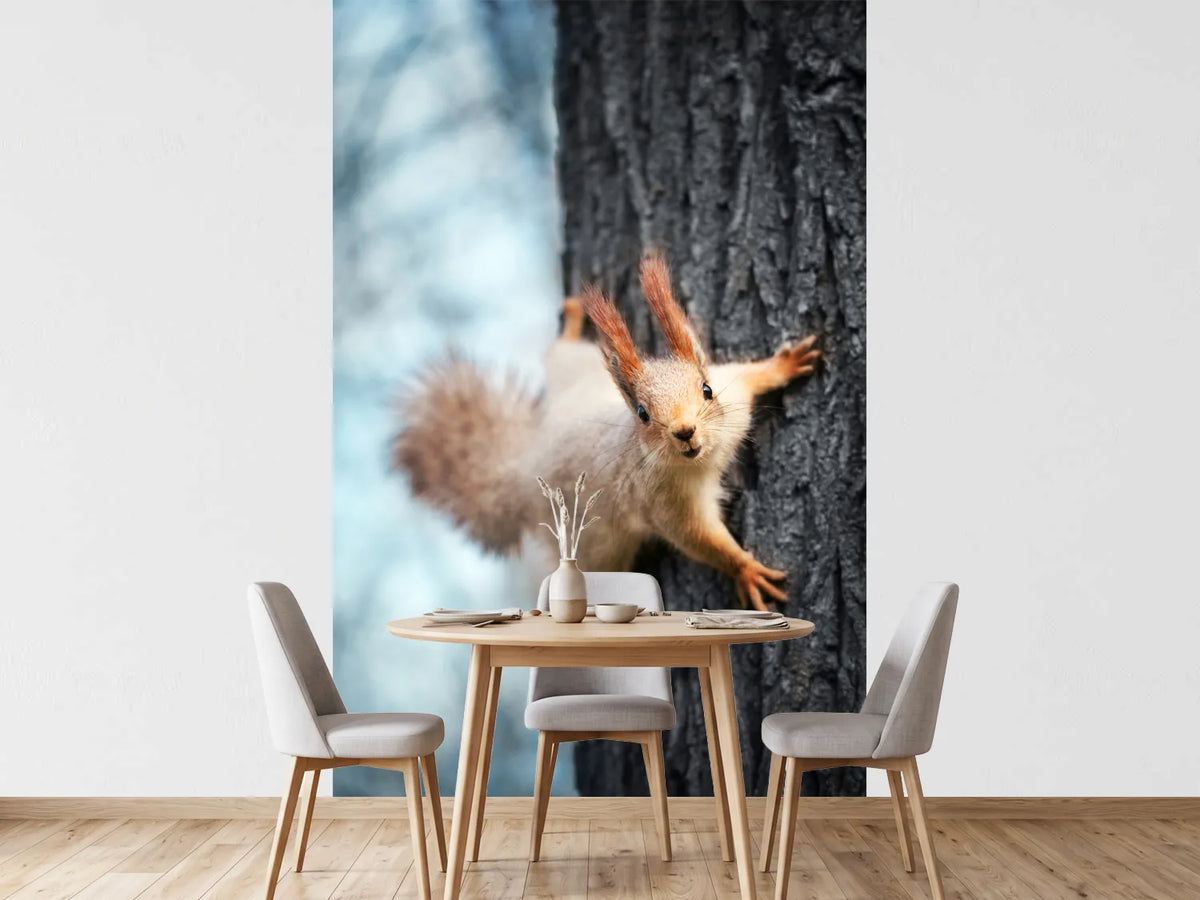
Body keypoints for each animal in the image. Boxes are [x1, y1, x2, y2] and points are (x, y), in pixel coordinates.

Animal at [392, 252, 820, 610]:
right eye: (642, 413)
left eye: (706, 390)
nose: (684, 431)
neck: (705, 458)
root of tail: (526, 465)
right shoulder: (665, 502)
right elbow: (699, 539)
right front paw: (745, 570)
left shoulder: (735, 402)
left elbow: (751, 377)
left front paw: (784, 365)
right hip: (593, 546)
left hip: (574, 371)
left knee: (559, 353)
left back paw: (571, 322)